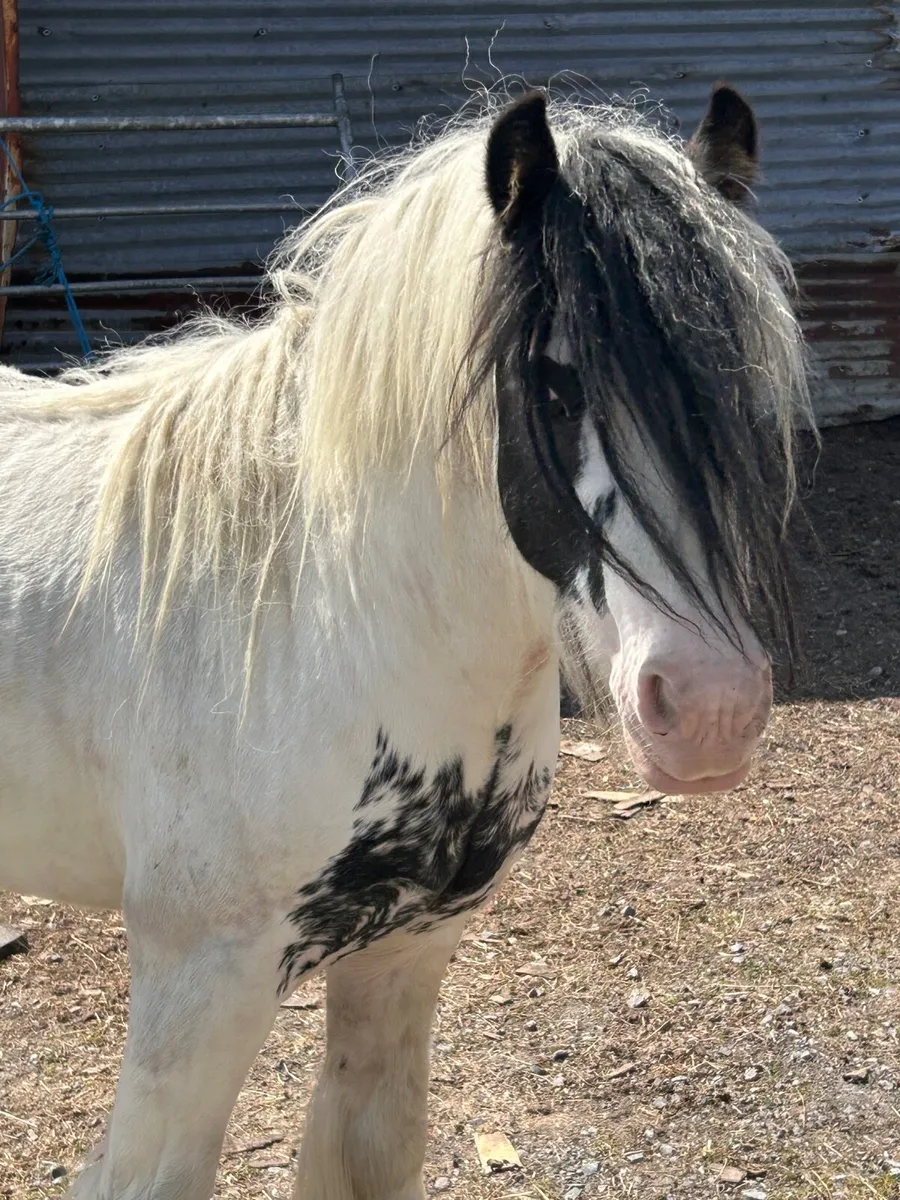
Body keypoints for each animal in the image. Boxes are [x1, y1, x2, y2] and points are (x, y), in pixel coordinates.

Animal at [0, 83, 809, 1199]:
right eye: (554, 386)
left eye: (743, 392)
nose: (711, 712)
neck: (314, 630)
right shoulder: (194, 1003)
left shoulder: (402, 959)